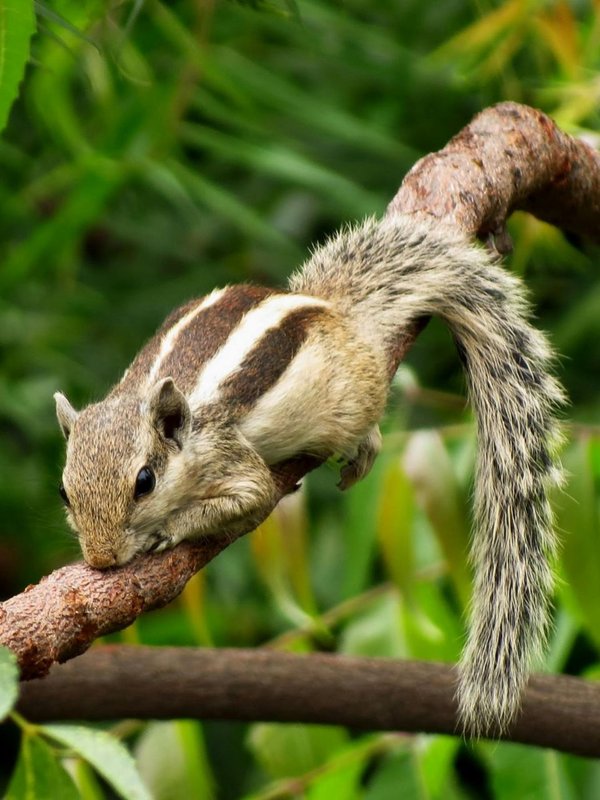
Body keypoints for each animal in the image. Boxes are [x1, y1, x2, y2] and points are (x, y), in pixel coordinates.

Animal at [55, 214, 564, 736]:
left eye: (145, 483)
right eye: (64, 492)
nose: (100, 559)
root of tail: (332, 307)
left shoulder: (228, 456)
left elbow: (253, 497)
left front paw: (169, 529)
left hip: (352, 398)